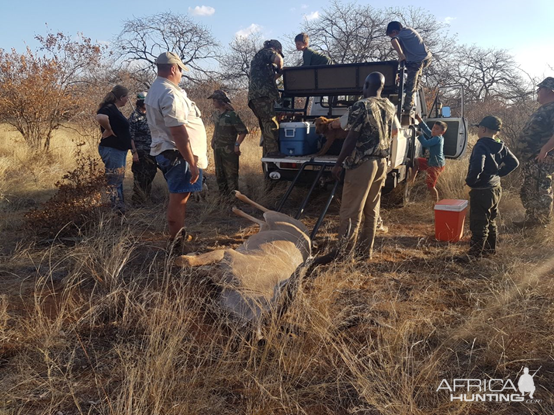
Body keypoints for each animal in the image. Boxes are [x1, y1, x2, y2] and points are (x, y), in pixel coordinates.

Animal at [175, 191, 308, 322]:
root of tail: (305, 232)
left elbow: (190, 262)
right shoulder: (227, 253)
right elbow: (185, 260)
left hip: (268, 225)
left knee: (262, 221)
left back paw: (236, 206)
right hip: (273, 217)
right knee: (267, 212)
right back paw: (238, 197)